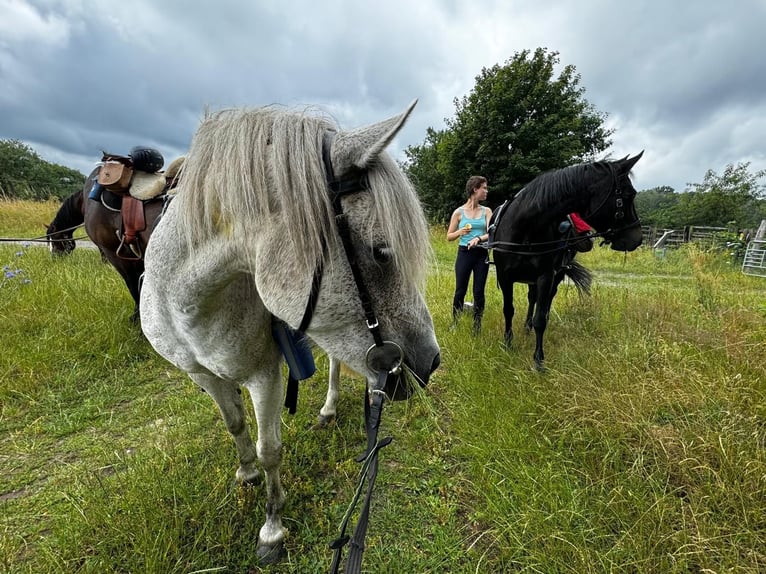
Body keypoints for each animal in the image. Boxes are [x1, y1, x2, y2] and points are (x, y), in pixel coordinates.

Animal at [139, 102, 441, 566]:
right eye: (381, 251)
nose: (432, 360)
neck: (184, 299)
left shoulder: (264, 376)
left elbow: (271, 451)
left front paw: (271, 529)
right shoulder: (202, 375)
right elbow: (234, 424)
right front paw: (244, 471)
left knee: (334, 364)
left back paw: (329, 410)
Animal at [490, 152, 644, 370]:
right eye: (629, 195)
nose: (637, 238)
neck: (526, 228)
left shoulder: (546, 276)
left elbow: (540, 318)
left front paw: (538, 360)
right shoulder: (505, 276)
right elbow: (508, 310)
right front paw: (508, 344)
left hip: (556, 275)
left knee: (542, 304)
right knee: (532, 299)